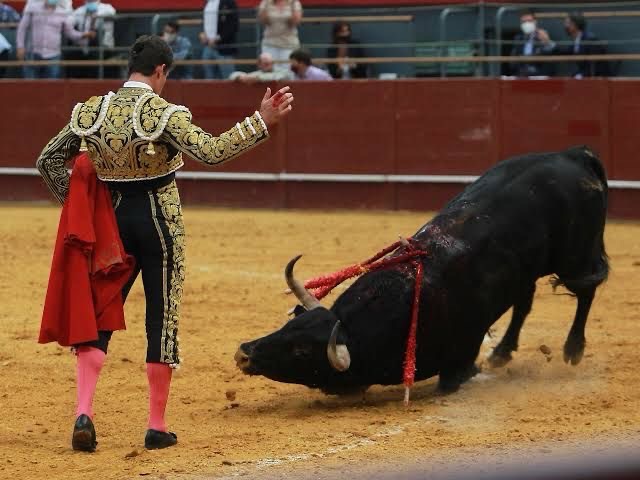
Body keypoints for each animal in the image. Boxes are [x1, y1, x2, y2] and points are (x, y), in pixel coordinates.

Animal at [232, 146, 608, 394]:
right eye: (288, 326)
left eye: (301, 351)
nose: (243, 353)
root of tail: (575, 154)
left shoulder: (460, 359)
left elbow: (453, 379)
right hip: (529, 268)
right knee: (524, 302)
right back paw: (502, 353)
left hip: (577, 254)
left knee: (586, 290)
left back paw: (573, 349)